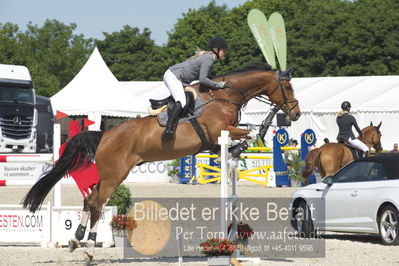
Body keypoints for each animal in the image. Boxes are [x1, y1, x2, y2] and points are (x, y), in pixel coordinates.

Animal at [22, 64, 300, 262]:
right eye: (288, 88)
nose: (296, 114)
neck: (225, 96)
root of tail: (104, 135)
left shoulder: (217, 138)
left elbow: (245, 137)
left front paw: (234, 153)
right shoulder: (218, 132)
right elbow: (251, 134)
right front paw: (239, 149)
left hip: (111, 175)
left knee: (90, 200)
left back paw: (77, 240)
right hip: (115, 175)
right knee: (98, 205)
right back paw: (89, 247)